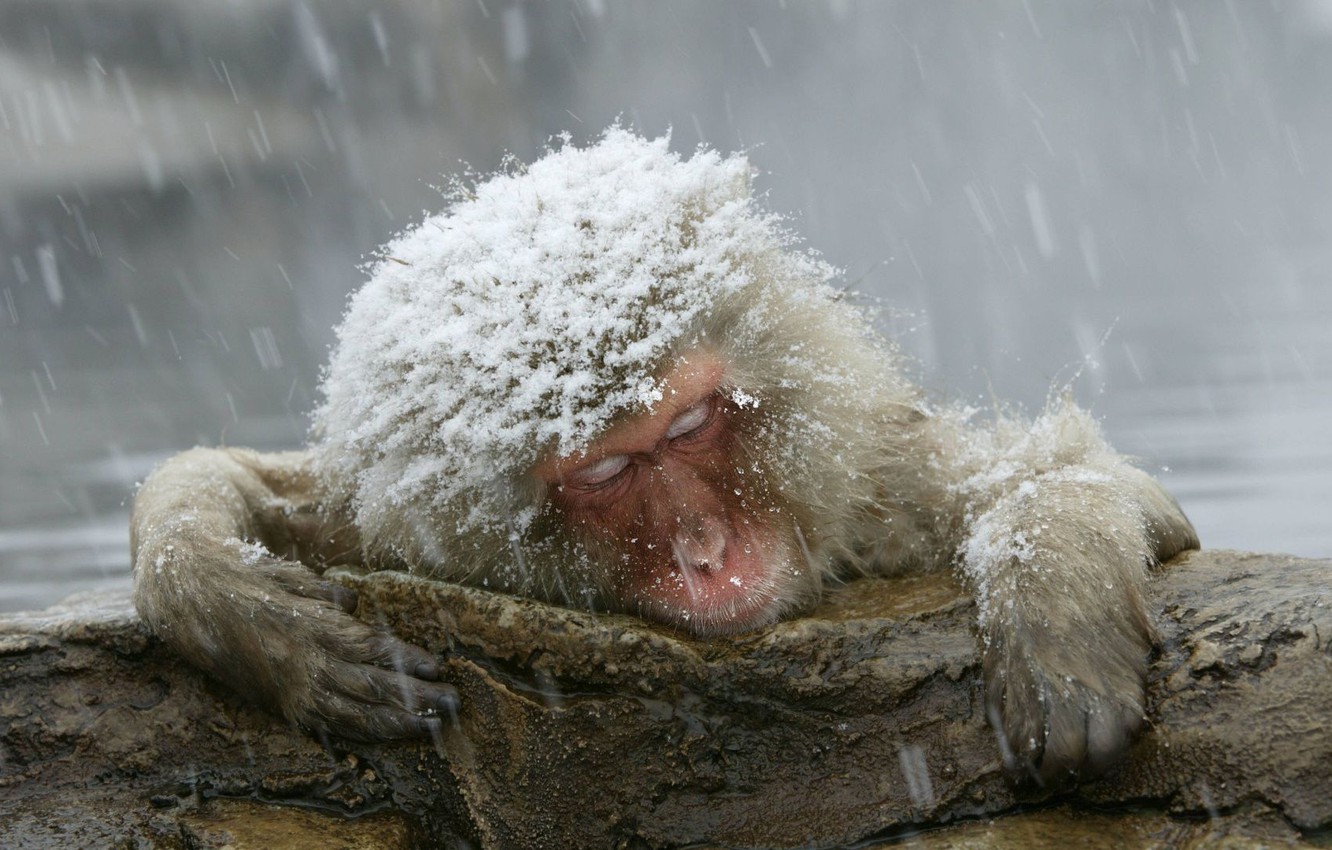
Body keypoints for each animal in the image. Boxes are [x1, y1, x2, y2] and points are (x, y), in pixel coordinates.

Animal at [130, 128, 1199, 784]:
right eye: (606, 473)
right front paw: (244, 611)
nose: (705, 547)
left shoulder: (879, 479)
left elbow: (1092, 489)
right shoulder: (383, 525)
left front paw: (1056, 622)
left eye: (687, 428)